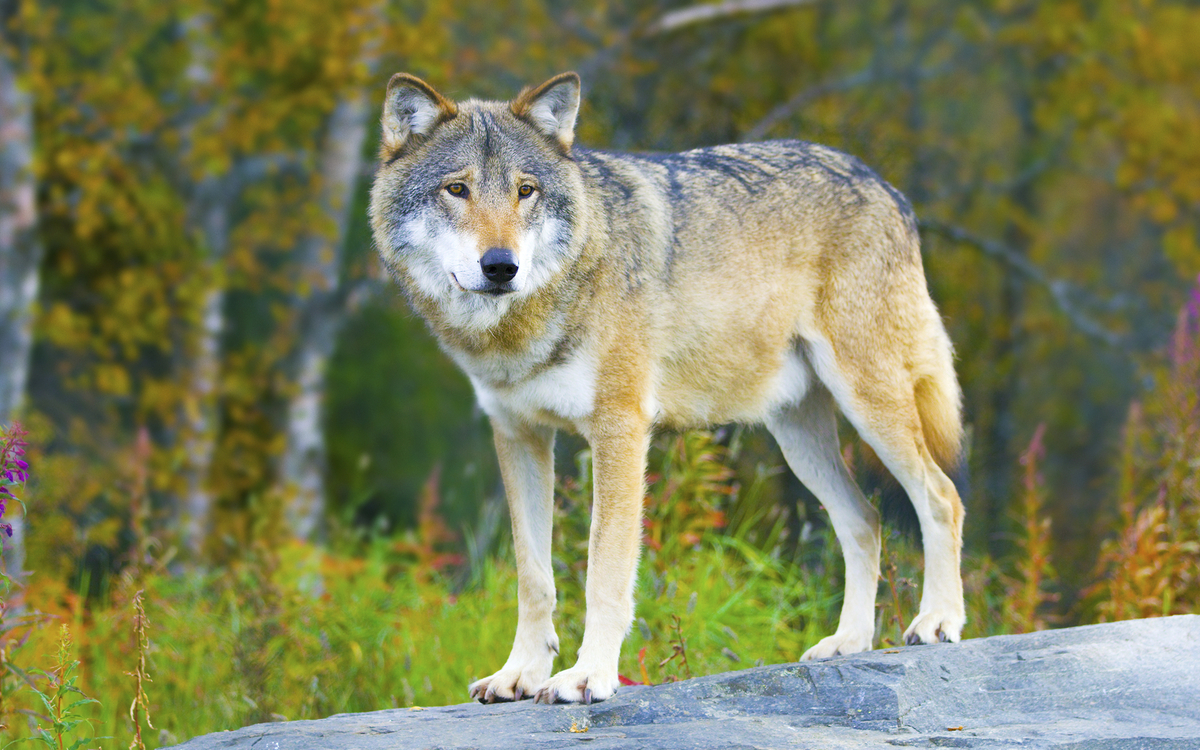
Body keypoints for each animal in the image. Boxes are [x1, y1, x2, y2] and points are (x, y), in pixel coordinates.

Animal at [368, 72, 966, 705]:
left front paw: (587, 676)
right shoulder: (517, 435)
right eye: (456, 189)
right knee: (865, 521)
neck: (524, 327)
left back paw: (938, 622)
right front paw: (520, 674)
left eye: (525, 191)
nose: (501, 266)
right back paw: (847, 643)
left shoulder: (620, 430)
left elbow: (604, 571)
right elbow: (534, 578)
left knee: (941, 496)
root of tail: (887, 187)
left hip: (869, 405)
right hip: (798, 437)